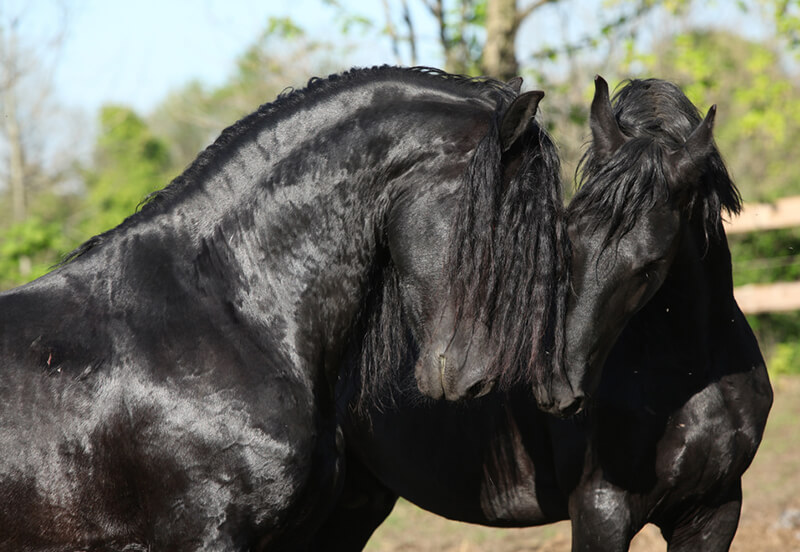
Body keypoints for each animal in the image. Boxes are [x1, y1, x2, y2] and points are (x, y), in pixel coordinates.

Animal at [320, 77, 776, 552]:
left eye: (650, 264)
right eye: (567, 235)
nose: (555, 386)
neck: (692, 383)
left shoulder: (715, 512)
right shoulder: (601, 511)